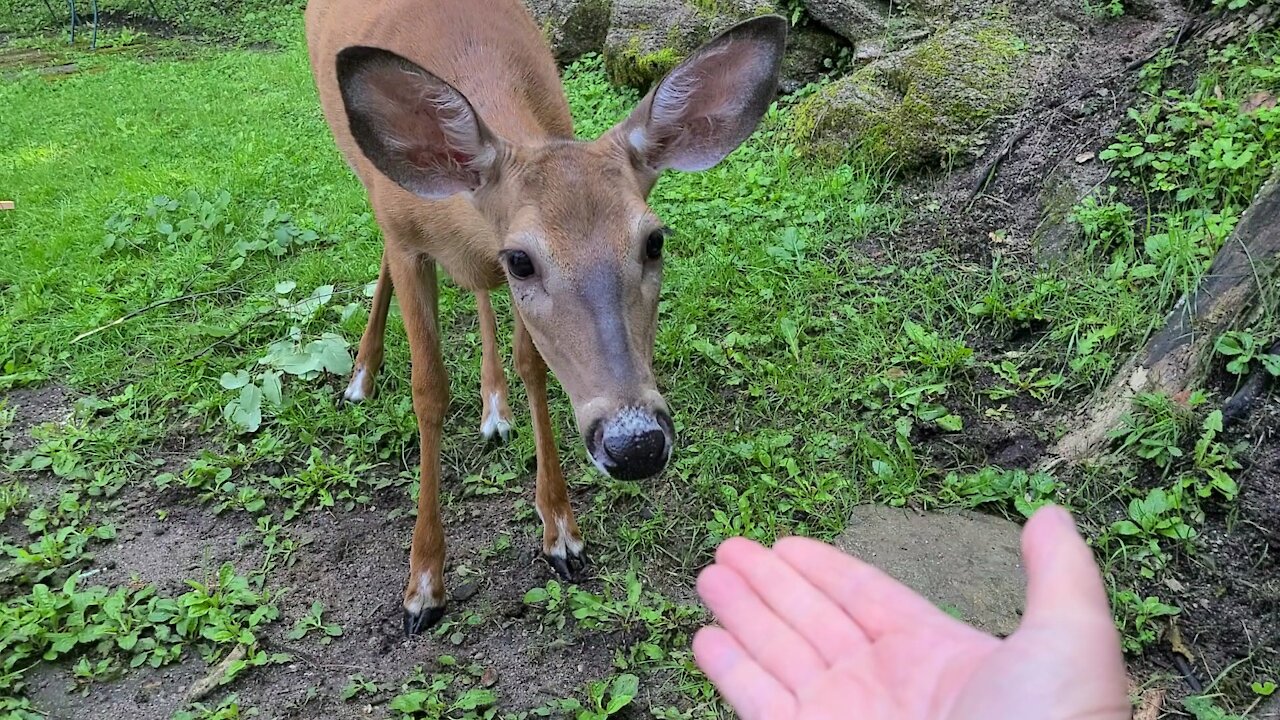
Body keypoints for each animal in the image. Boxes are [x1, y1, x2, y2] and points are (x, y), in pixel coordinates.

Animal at [307, 0, 788, 630]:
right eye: (522, 259)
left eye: (654, 240)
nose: (635, 444)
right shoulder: (408, 238)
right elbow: (429, 390)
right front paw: (423, 584)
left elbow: (532, 364)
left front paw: (561, 532)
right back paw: (363, 374)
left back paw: (494, 406)